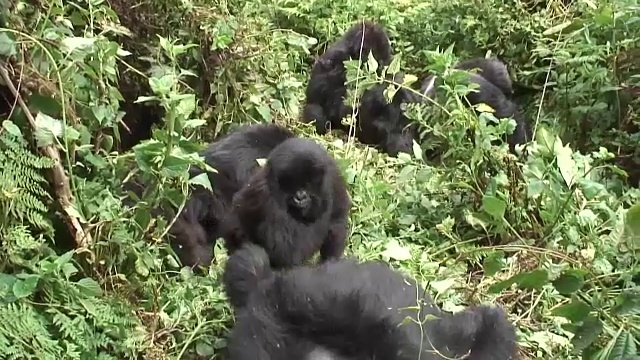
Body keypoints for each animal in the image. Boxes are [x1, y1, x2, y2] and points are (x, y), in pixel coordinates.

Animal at [221, 137, 350, 272]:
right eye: (293, 184)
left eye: (308, 184)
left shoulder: (332, 176)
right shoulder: (265, 191)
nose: (300, 196)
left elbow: (338, 218)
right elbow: (284, 248)